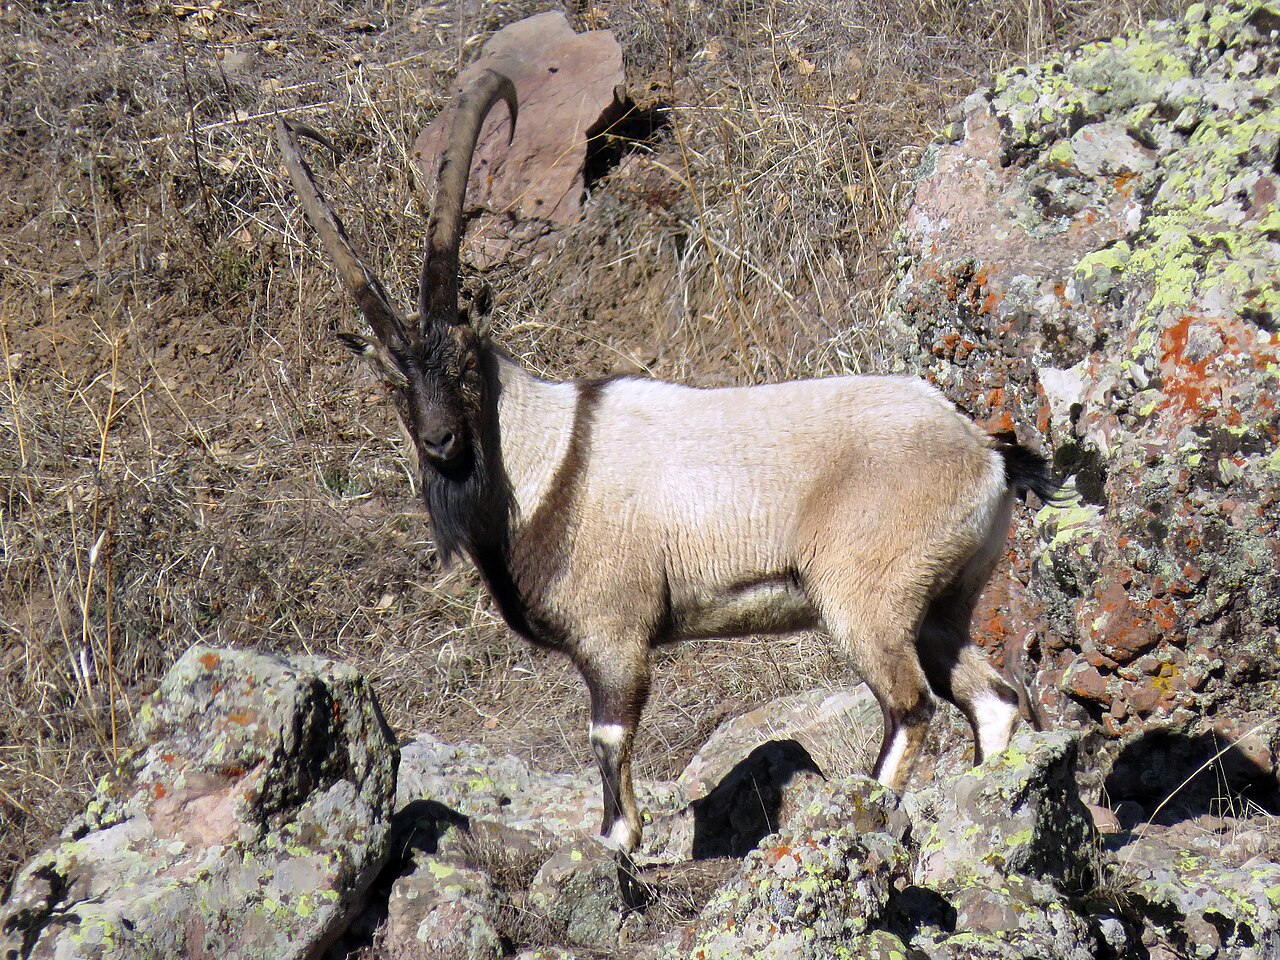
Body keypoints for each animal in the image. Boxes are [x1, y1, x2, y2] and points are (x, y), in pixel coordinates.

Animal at [276, 67, 1056, 859]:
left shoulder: (613, 635)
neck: (547, 461)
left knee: (911, 705)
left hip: (864, 599)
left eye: (465, 362)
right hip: (943, 601)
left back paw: (862, 813)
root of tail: (984, 452)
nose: (440, 442)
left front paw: (617, 845)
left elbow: (609, 738)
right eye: (392, 383)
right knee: (991, 698)